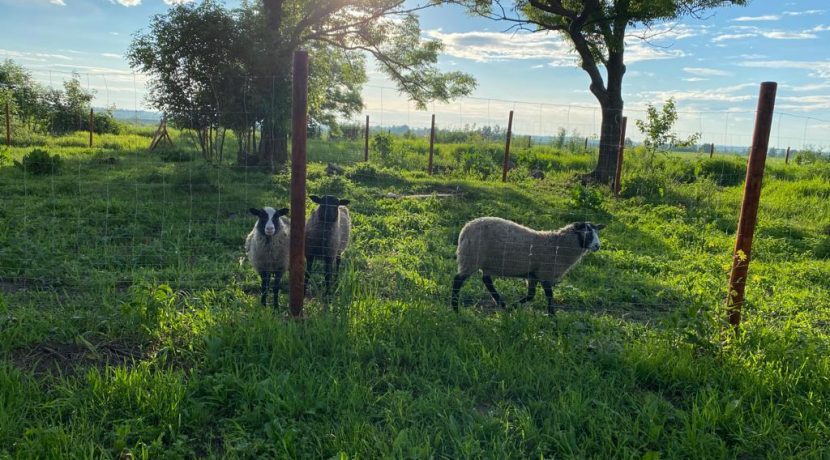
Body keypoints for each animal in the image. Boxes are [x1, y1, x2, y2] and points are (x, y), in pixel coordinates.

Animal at [452, 218, 608, 312]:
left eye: (597, 232)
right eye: (587, 233)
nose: (597, 246)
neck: (557, 245)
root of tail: (464, 230)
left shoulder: (533, 275)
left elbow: (531, 296)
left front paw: (512, 307)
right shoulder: (545, 274)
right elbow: (550, 297)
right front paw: (553, 317)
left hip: (485, 262)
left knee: (486, 280)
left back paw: (501, 303)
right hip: (470, 258)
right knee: (458, 280)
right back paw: (455, 309)